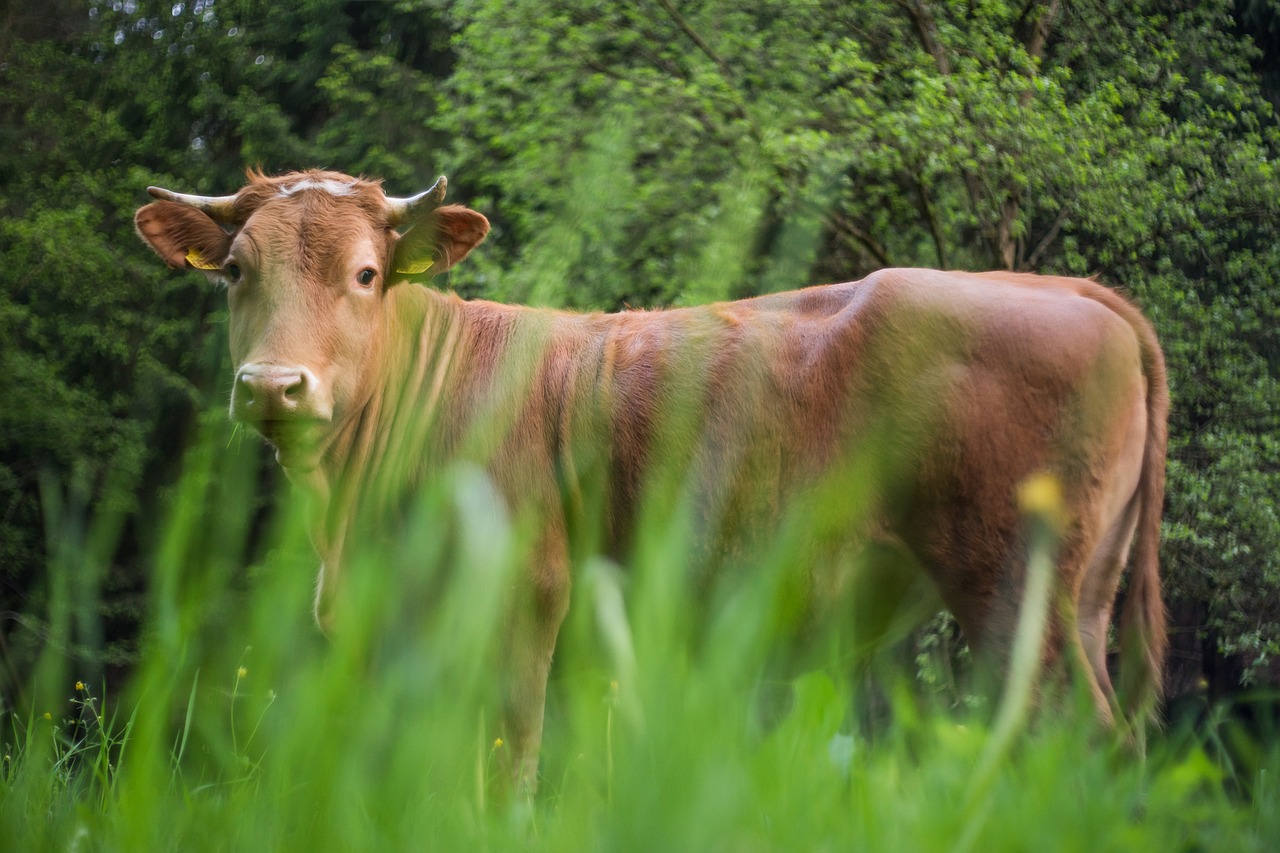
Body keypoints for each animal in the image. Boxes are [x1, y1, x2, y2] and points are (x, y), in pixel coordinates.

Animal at [132, 166, 1172, 788]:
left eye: (363, 274)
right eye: (234, 270)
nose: (274, 384)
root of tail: (1076, 291)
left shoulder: (524, 603)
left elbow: (509, 763)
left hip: (1018, 589)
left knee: (1072, 729)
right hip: (1083, 592)